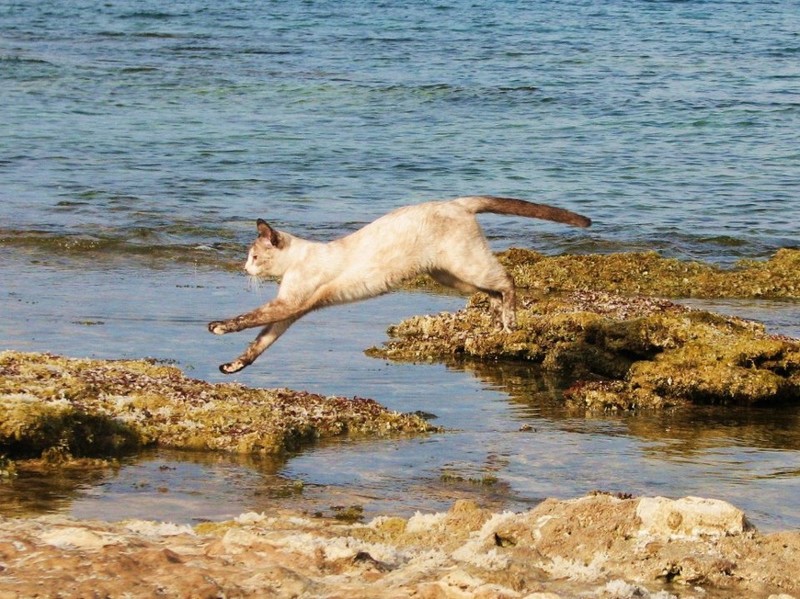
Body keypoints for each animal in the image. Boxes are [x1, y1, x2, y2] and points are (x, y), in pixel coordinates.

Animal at [209, 197, 592, 372]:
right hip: (452, 276)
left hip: (465, 266)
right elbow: (259, 343)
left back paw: (510, 322)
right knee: (493, 292)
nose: (244, 268)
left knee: (508, 281)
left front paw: (216, 327)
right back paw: (499, 320)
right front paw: (232, 367)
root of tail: (457, 202)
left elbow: (246, 319)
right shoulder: (289, 312)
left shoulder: (289, 304)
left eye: (254, 257)